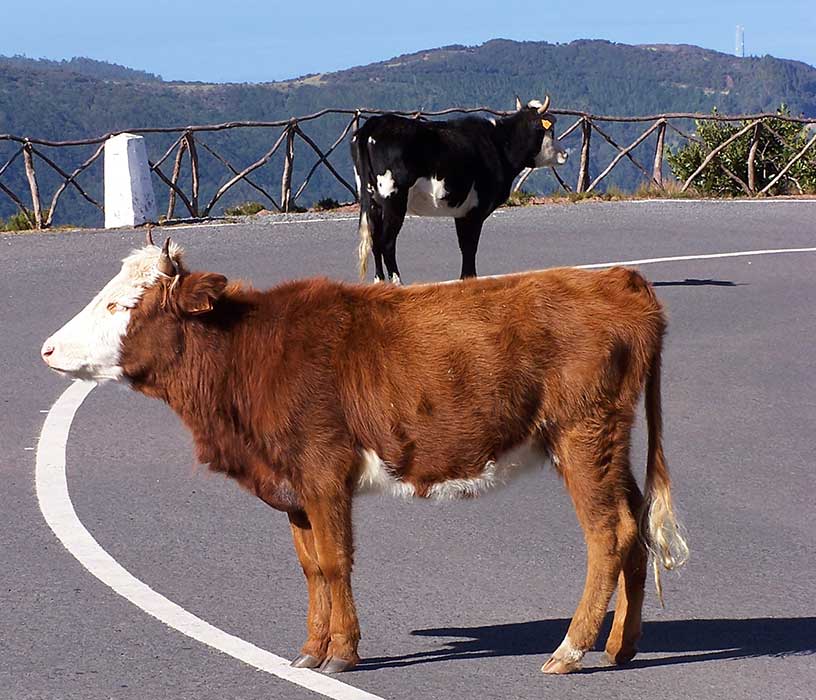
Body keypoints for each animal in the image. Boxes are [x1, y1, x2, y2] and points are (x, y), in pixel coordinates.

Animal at [41, 235, 689, 675]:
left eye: (120, 306)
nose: (47, 348)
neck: (251, 353)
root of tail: (616, 281)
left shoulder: (324, 471)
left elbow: (335, 561)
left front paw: (343, 653)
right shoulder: (294, 487)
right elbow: (309, 566)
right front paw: (310, 649)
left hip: (581, 435)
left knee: (608, 533)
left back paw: (570, 649)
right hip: (608, 443)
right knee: (634, 528)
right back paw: (620, 647)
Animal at [351, 96, 569, 284]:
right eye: (550, 131)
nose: (564, 154)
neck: (498, 144)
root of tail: (376, 122)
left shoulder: (462, 212)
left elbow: (464, 246)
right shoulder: (476, 210)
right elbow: (470, 247)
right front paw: (469, 279)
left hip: (372, 200)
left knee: (375, 241)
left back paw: (379, 282)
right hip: (394, 199)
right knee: (387, 242)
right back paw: (397, 283)